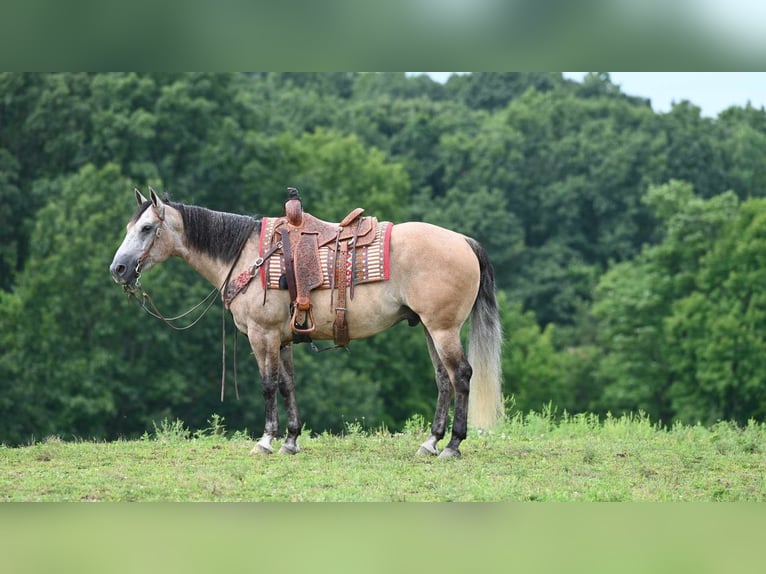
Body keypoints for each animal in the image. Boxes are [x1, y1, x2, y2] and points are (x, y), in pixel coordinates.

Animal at [109, 188, 504, 460]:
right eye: (129, 226)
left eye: (146, 228)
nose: (119, 268)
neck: (248, 257)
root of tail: (463, 241)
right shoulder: (282, 339)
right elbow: (287, 385)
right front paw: (291, 440)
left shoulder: (263, 335)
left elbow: (268, 386)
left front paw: (266, 441)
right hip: (427, 327)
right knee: (443, 379)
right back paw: (431, 442)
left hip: (442, 328)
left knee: (461, 375)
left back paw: (453, 445)